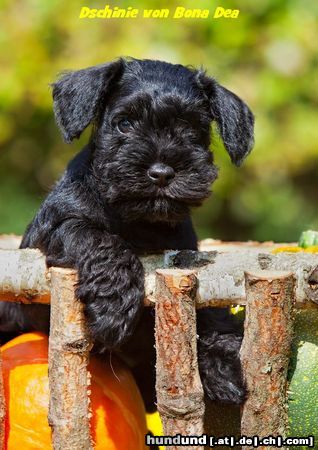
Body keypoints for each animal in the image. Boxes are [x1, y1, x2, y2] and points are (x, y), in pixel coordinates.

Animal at [0, 56, 253, 408]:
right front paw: (114, 307)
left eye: (193, 128)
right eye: (124, 123)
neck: (138, 221)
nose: (161, 173)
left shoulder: (184, 254)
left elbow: (207, 306)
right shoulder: (52, 230)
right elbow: (98, 239)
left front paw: (223, 361)